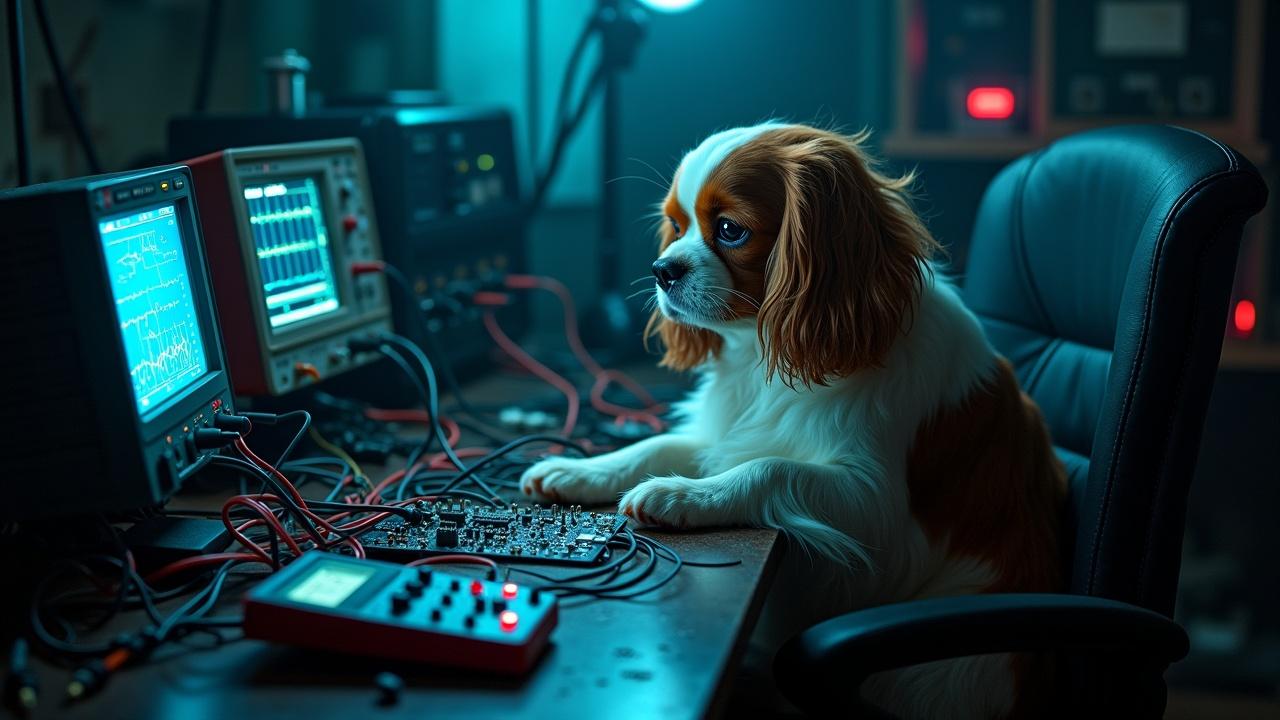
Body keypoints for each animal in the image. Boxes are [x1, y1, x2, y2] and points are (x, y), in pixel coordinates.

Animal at [514, 121, 1064, 712]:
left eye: (729, 230)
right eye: (677, 226)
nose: (662, 270)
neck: (761, 353)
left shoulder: (880, 512)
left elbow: (769, 467)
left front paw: (680, 495)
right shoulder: (721, 435)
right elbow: (654, 445)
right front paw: (579, 470)